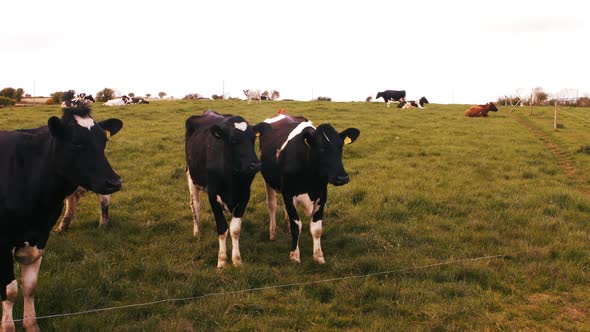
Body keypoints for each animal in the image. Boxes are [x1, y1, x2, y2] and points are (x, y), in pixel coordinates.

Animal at [0, 102, 122, 330]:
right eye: (76, 143)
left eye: (104, 141)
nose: (114, 181)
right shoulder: (2, 245)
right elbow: (10, 292)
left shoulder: (39, 237)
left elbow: (29, 286)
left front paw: (32, 326)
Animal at [185, 110, 272, 268]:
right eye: (233, 140)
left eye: (253, 138)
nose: (256, 165)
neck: (232, 178)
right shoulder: (213, 196)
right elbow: (222, 228)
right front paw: (222, 260)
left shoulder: (244, 196)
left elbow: (235, 229)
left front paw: (237, 260)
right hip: (191, 177)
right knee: (195, 206)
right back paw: (197, 232)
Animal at [262, 113, 364, 264]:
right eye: (321, 149)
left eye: (340, 147)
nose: (342, 178)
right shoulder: (288, 193)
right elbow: (296, 226)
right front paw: (294, 256)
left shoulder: (322, 194)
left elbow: (316, 228)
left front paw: (318, 256)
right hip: (268, 181)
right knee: (272, 205)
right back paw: (273, 233)